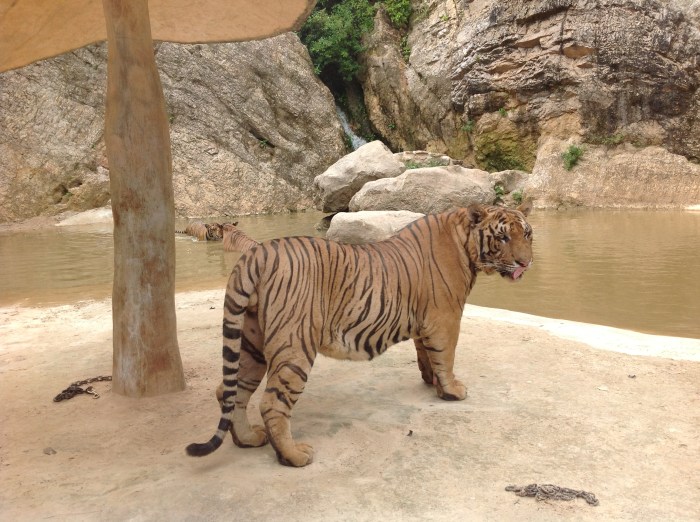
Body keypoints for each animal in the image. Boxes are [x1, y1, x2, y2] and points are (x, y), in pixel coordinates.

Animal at [186, 201, 533, 467]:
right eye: (503, 238)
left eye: (527, 234)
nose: (526, 263)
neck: (464, 240)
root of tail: (257, 254)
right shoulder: (445, 318)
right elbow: (445, 357)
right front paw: (452, 391)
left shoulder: (424, 322)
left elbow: (426, 355)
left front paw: (431, 383)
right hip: (295, 345)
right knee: (272, 403)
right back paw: (294, 456)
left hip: (251, 342)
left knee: (231, 391)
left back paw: (248, 439)